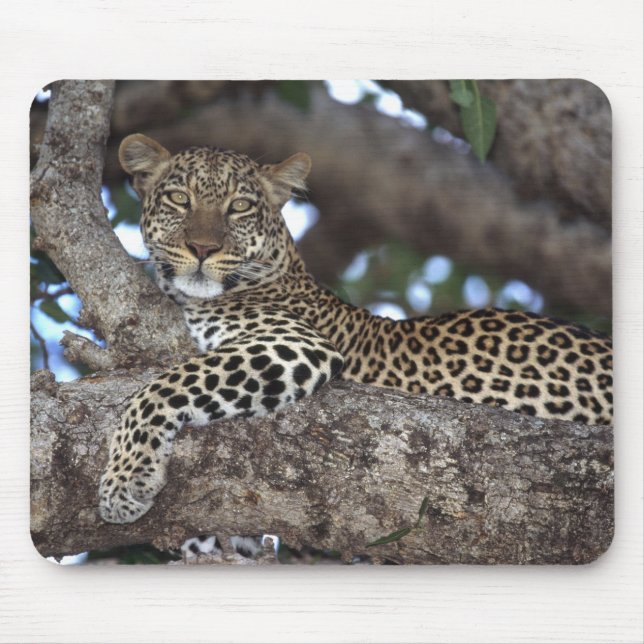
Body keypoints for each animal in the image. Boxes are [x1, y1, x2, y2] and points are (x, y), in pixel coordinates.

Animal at [98, 133, 613, 529]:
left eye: (239, 206)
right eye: (178, 199)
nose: (203, 248)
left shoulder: (294, 344)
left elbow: (161, 387)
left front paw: (123, 482)